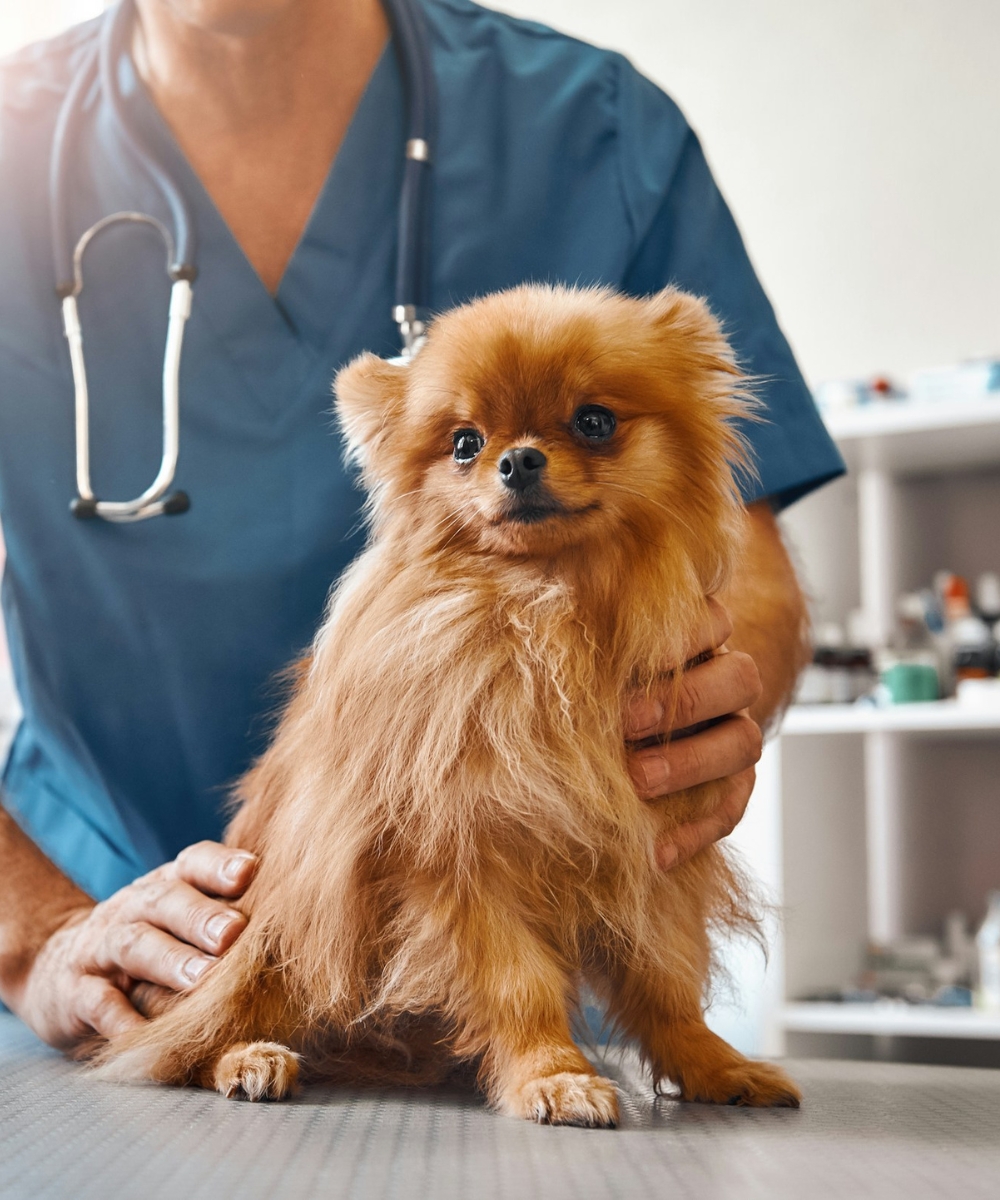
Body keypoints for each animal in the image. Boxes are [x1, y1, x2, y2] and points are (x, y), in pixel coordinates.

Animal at [93, 283, 801, 1123]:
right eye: (464, 443)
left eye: (594, 421)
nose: (518, 458)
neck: (546, 611)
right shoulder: (457, 860)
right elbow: (519, 986)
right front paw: (551, 1076)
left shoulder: (653, 856)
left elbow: (666, 985)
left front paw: (713, 1063)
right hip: (272, 929)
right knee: (192, 1038)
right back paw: (251, 1058)